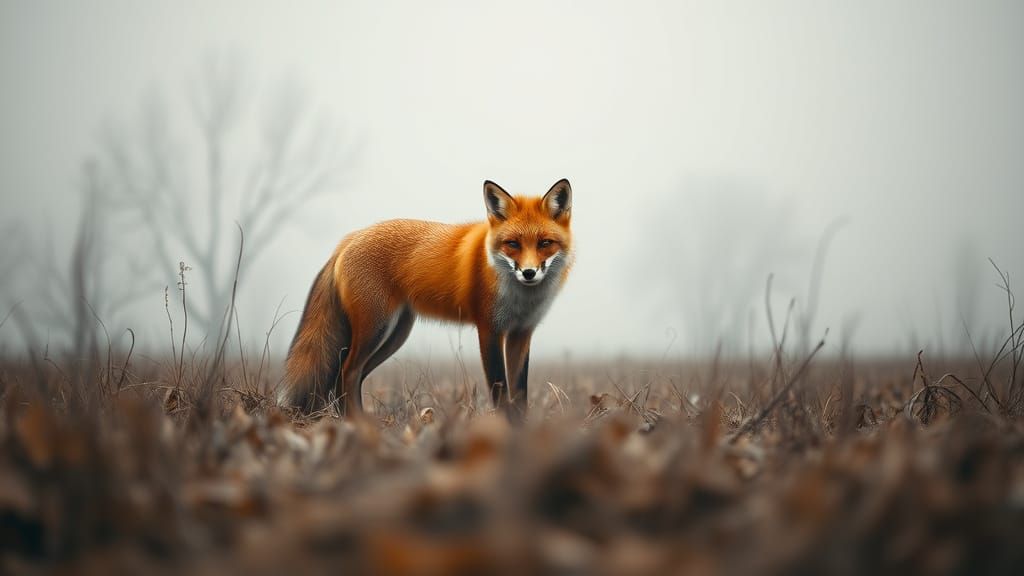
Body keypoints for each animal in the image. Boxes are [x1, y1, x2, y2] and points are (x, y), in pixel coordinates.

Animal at [280, 179, 574, 421]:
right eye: (512, 244)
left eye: (545, 243)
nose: (528, 273)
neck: (518, 297)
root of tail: (350, 238)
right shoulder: (490, 330)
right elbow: (500, 392)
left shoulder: (521, 333)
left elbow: (519, 394)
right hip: (375, 330)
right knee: (346, 373)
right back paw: (357, 424)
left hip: (395, 335)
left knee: (351, 377)